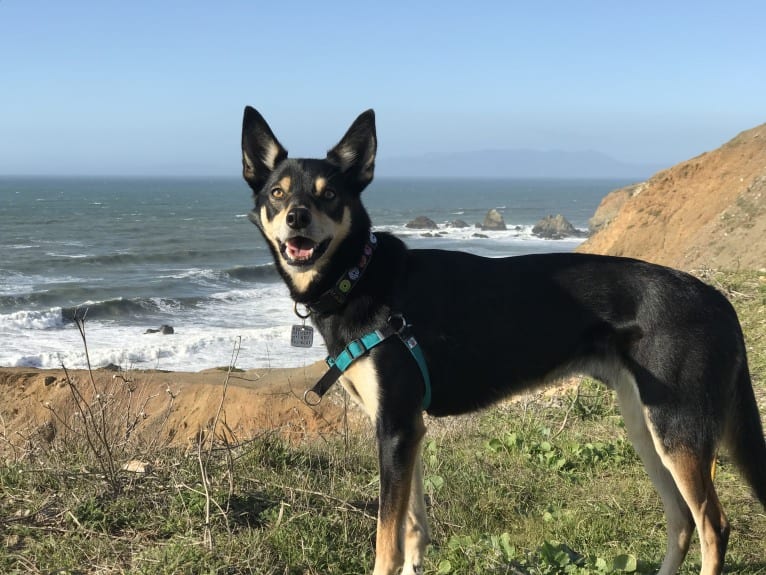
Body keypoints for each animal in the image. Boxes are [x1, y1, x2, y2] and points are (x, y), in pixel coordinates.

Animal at [242, 108, 766, 575]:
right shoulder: (404, 429)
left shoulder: (395, 427)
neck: (360, 275)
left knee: (713, 525)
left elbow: (386, 541)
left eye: (330, 195)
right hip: (648, 427)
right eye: (277, 193)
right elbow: (412, 528)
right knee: (682, 521)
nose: (297, 218)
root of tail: (716, 297)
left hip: (678, 430)